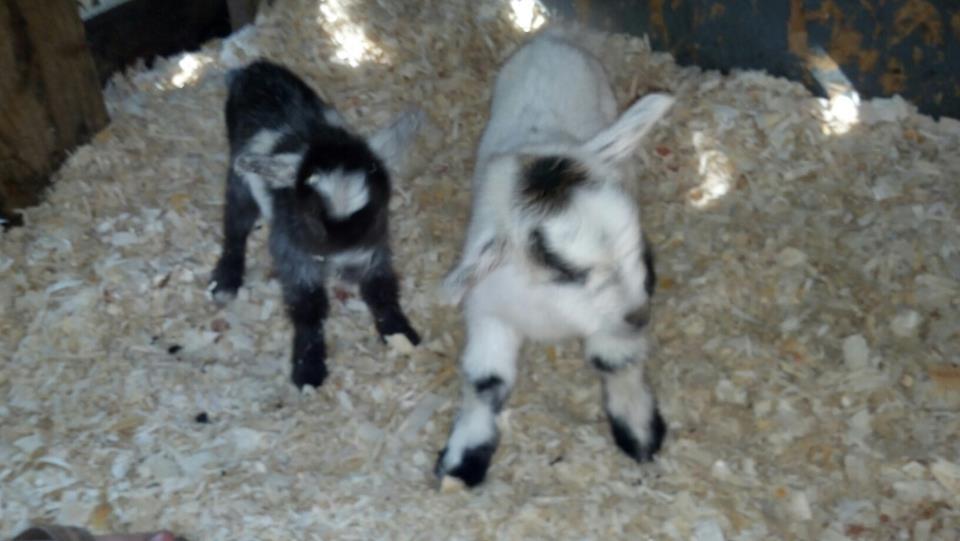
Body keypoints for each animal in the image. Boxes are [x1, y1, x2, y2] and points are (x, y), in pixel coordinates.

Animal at [209, 60, 422, 389]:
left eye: (375, 211)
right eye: (311, 215)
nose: (347, 269)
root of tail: (252, 68)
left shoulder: (374, 247)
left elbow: (381, 288)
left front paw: (400, 331)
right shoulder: (293, 253)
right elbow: (309, 305)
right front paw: (308, 368)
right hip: (239, 181)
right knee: (235, 225)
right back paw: (226, 279)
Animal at [435, 28, 675, 487]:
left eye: (636, 242)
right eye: (564, 268)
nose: (640, 317)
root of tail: (549, 40)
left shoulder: (614, 322)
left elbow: (615, 362)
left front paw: (639, 434)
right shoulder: (488, 313)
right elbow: (485, 383)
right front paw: (460, 464)